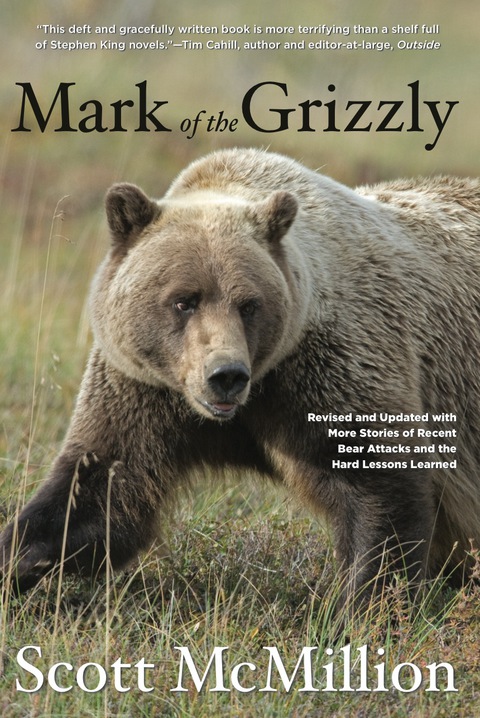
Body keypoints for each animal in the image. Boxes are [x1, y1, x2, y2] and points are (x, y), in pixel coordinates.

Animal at [1, 147, 480, 615]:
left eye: (249, 304)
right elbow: (101, 494)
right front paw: (17, 561)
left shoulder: (335, 370)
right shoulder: (143, 391)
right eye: (184, 300)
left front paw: (362, 610)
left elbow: (380, 490)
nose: (226, 375)